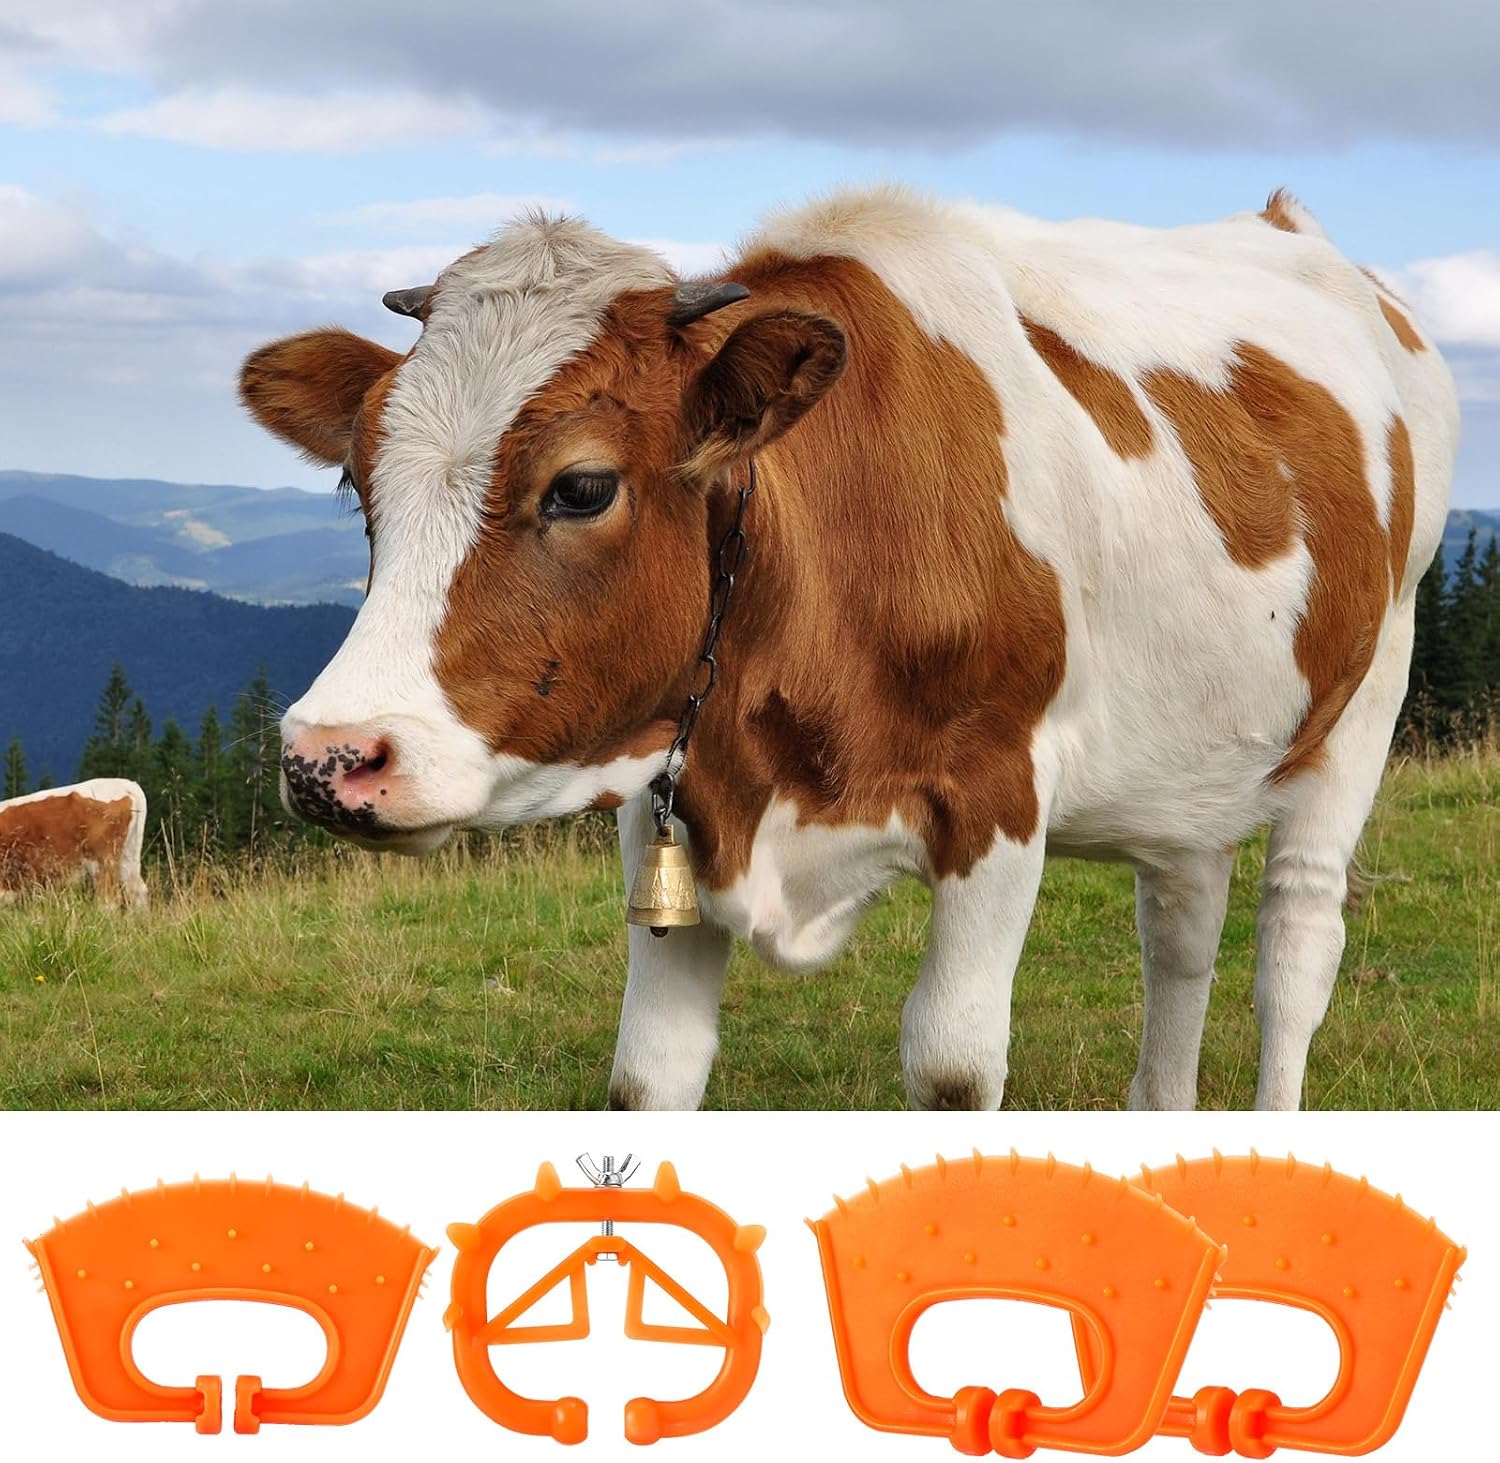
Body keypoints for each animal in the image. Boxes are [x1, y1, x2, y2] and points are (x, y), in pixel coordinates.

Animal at [240, 186, 1456, 1112]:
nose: (331, 754)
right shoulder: (668, 801)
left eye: (582, 486)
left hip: (1368, 691)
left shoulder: (1001, 794)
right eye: (357, 480)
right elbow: (648, 1076)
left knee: (1295, 949)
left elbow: (955, 1069)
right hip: (1195, 754)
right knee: (1181, 930)